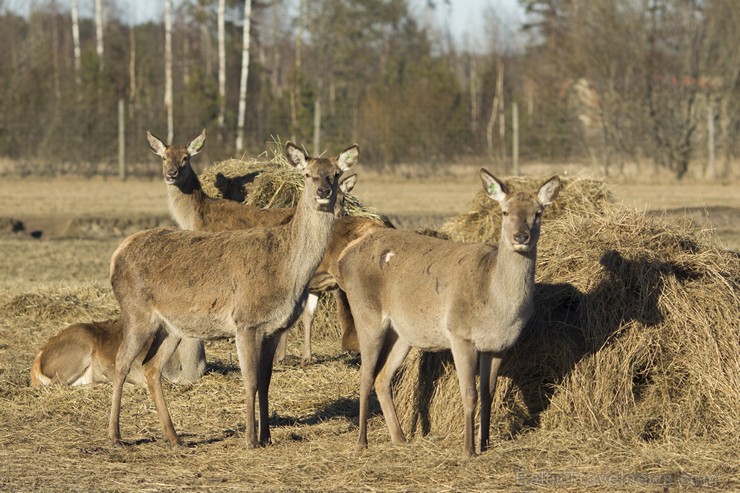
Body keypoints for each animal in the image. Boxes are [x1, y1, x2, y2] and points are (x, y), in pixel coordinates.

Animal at [107, 140, 358, 448]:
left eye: (334, 174)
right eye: (308, 174)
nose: (324, 192)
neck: (287, 269)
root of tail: (116, 255)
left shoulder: (274, 328)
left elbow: (266, 382)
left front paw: (267, 436)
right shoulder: (246, 321)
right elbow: (250, 381)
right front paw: (250, 439)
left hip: (172, 325)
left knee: (151, 367)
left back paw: (174, 437)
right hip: (136, 311)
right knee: (121, 362)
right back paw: (115, 434)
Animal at [336, 171, 560, 456]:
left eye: (538, 213)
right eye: (504, 212)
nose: (521, 237)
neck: (498, 308)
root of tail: (344, 257)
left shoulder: (498, 345)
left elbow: (488, 393)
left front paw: (485, 442)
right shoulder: (460, 333)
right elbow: (470, 394)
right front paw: (468, 449)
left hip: (403, 333)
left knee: (382, 377)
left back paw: (400, 438)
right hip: (367, 313)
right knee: (365, 376)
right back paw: (362, 443)